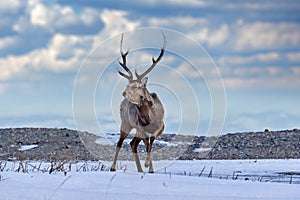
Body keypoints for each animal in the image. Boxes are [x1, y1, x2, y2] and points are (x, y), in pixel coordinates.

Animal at [110, 32, 166, 173]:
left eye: (136, 86)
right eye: (127, 84)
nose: (124, 93)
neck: (150, 118)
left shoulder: (161, 126)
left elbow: (151, 141)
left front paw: (148, 166)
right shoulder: (141, 128)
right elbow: (148, 144)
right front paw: (148, 165)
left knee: (133, 143)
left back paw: (141, 169)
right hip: (126, 123)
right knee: (120, 143)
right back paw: (113, 167)